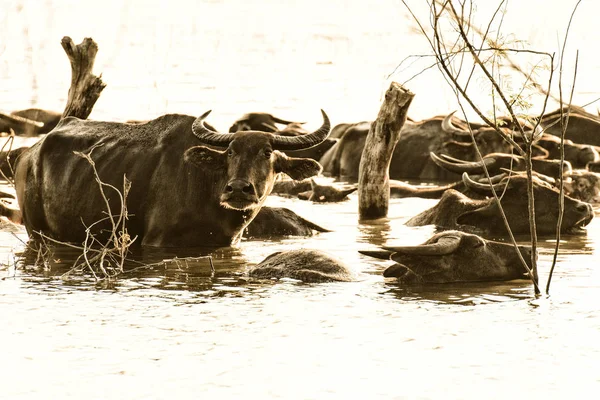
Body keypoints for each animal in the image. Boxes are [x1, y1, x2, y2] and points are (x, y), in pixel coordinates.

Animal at [14, 109, 330, 247]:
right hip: (36, 231)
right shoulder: (157, 242)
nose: (239, 189)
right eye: (230, 152)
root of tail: (29, 155)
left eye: (267, 153)